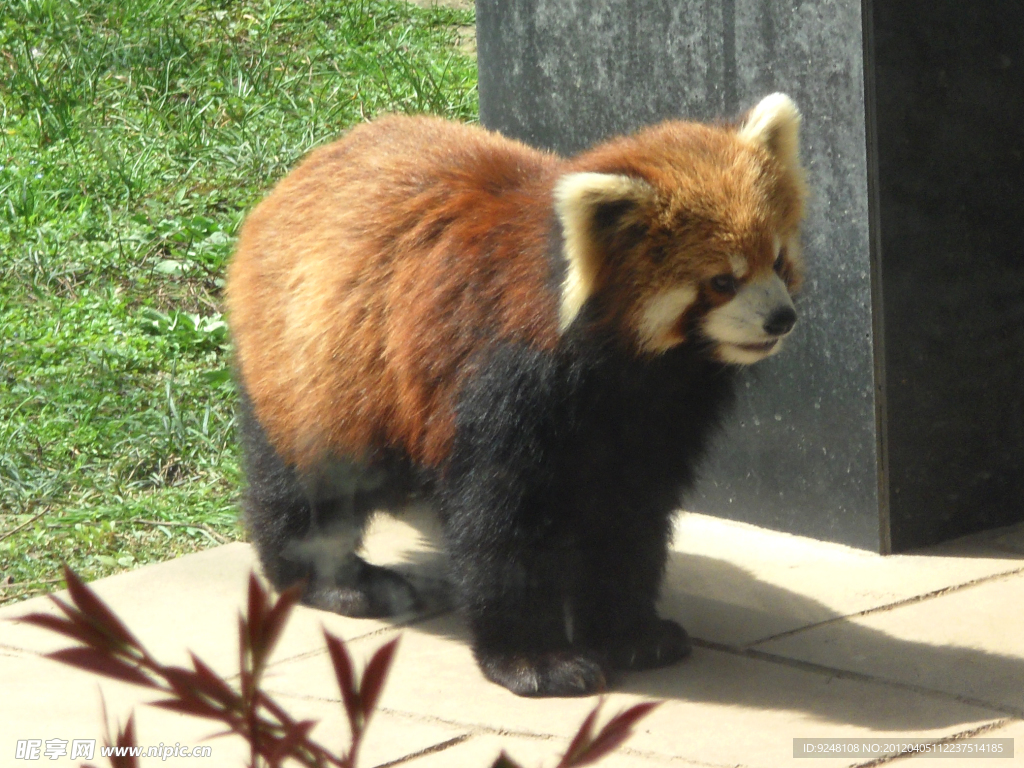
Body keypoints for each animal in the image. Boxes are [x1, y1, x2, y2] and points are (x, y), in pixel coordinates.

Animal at [226, 94, 806, 696]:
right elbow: (502, 525)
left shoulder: (657, 414)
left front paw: (631, 633)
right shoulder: (502, 381)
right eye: (722, 281)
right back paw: (331, 581)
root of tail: (305, 169)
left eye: (777, 260)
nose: (781, 318)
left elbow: (630, 515)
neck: (625, 368)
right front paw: (537, 660)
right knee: (313, 479)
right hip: (319, 370)